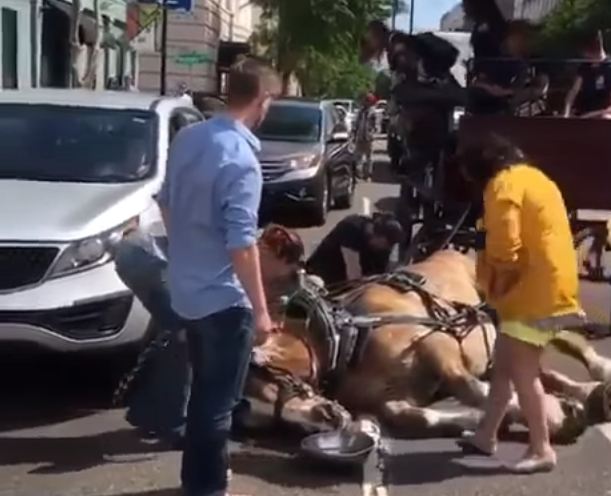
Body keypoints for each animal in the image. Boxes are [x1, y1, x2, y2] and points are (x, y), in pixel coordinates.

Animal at [248, 245, 611, 443]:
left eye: (273, 385)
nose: (329, 418)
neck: (343, 340)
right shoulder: (392, 400)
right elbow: (417, 418)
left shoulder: (436, 346)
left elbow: (476, 391)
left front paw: (555, 416)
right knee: (535, 372)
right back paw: (590, 395)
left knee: (566, 339)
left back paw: (600, 372)